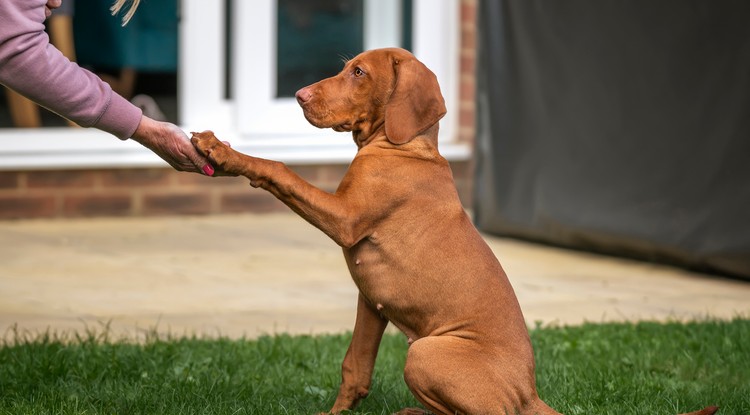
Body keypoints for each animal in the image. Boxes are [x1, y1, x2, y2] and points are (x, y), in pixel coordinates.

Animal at [191, 47, 720, 415]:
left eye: (359, 73)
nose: (299, 96)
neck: (402, 145)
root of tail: (529, 393)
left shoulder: (345, 218)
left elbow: (279, 169)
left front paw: (223, 150)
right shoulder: (371, 301)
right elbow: (354, 367)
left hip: (427, 352)